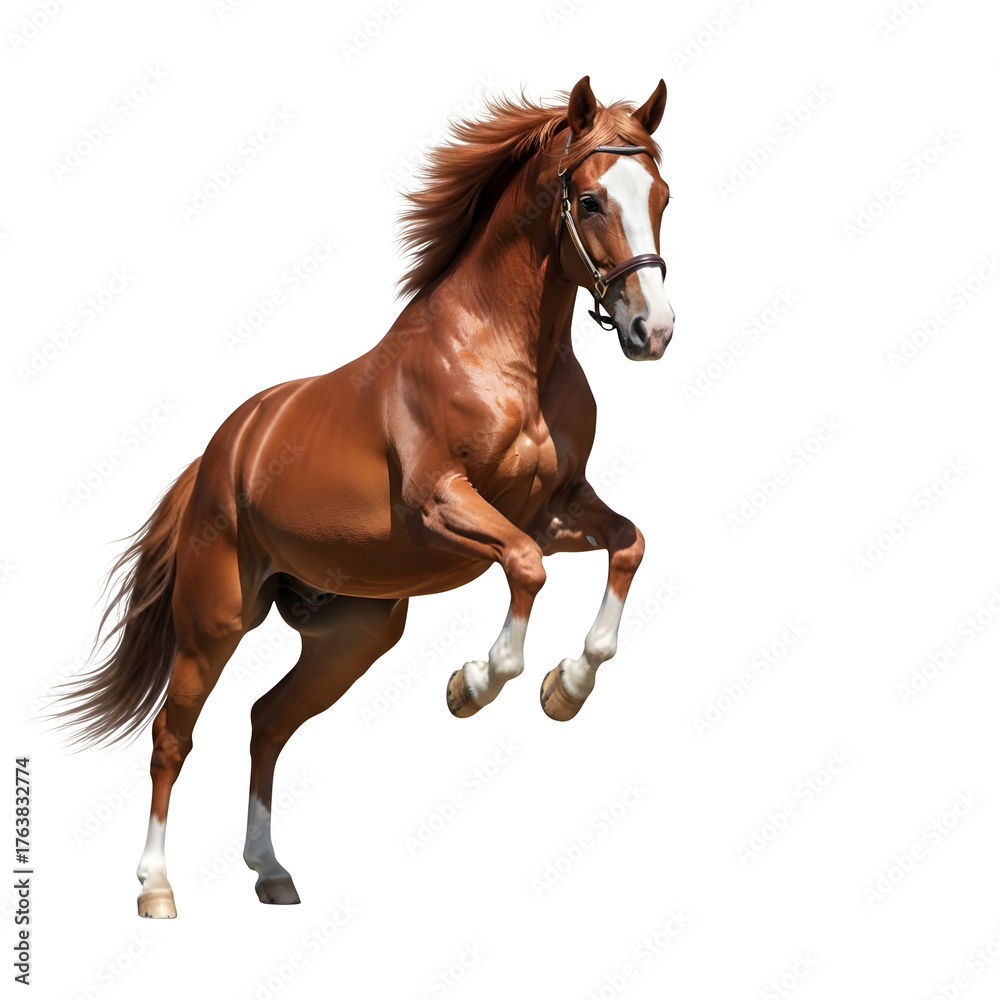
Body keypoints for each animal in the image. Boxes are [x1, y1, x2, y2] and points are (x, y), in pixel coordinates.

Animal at [48, 75, 675, 919]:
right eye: (592, 200)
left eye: (663, 194)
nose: (654, 330)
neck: (505, 355)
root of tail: (218, 455)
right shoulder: (445, 506)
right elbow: (524, 569)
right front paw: (473, 685)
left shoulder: (556, 508)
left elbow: (628, 544)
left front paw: (566, 688)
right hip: (214, 623)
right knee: (172, 736)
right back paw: (156, 889)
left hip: (353, 635)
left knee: (267, 721)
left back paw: (272, 874)